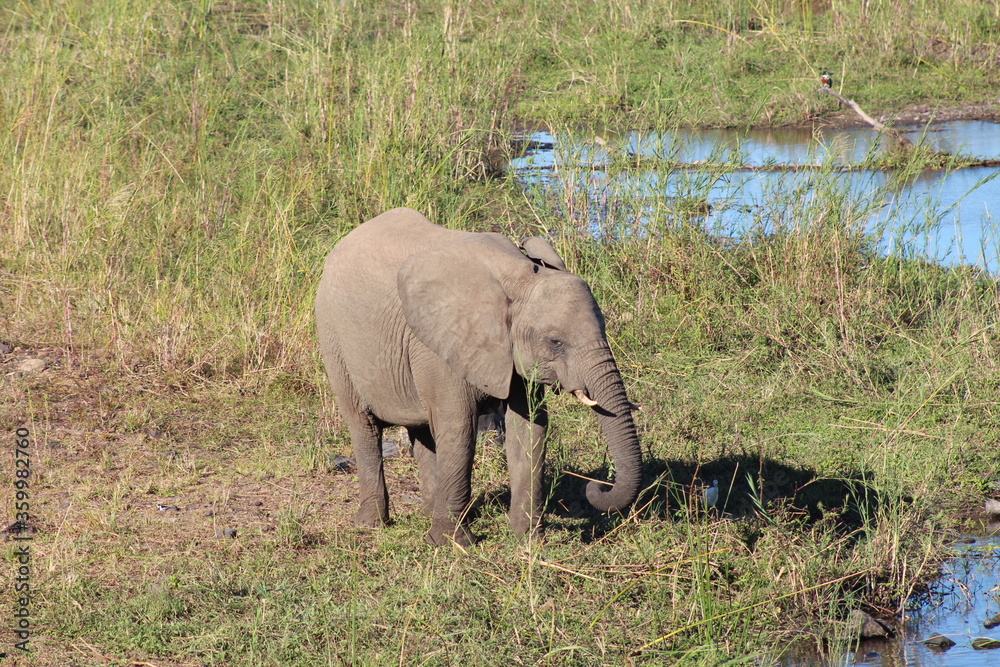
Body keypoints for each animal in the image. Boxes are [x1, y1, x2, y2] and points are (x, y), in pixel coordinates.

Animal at [315, 207, 642, 546]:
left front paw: (528, 540)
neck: (521, 277)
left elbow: (530, 428)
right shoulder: (441, 346)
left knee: (421, 428)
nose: (597, 486)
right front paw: (451, 544)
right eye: (555, 342)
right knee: (363, 425)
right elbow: (459, 427)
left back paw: (428, 513)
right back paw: (372, 524)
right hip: (333, 338)